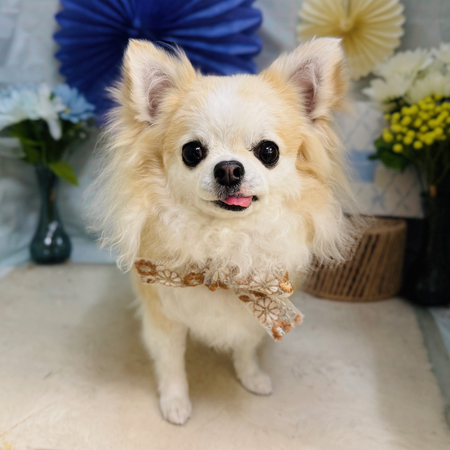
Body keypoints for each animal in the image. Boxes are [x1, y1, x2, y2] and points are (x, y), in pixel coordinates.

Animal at [89, 37, 360, 425]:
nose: (229, 168)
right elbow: (171, 364)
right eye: (193, 151)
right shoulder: (164, 317)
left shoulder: (256, 305)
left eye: (268, 151)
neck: (224, 246)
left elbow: (246, 348)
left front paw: (251, 377)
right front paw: (175, 402)